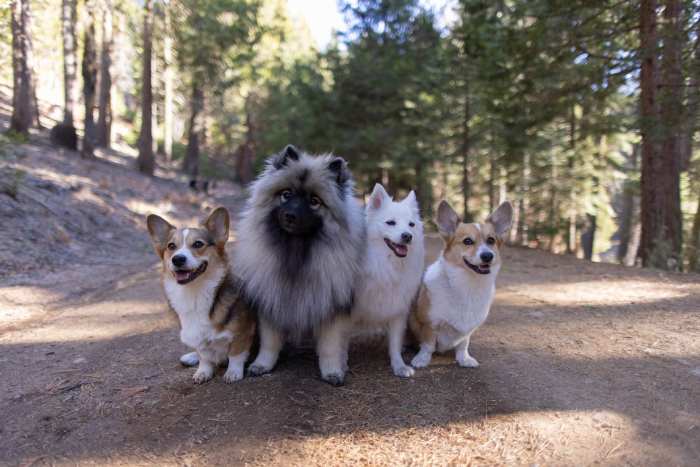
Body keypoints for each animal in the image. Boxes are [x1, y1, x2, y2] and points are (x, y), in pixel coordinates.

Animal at [235, 144, 366, 386]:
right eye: (286, 195)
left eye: (314, 201)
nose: (290, 215)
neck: (296, 249)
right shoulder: (271, 299)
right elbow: (269, 342)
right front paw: (262, 365)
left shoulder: (332, 306)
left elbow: (330, 346)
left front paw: (332, 371)